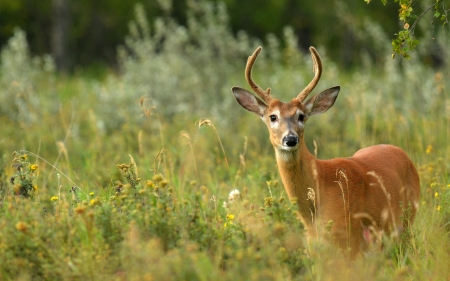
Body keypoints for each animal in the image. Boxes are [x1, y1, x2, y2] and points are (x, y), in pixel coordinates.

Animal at [232, 45, 422, 256]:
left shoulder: (349, 236)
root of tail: (403, 154)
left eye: (301, 116)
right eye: (272, 117)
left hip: (407, 219)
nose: (290, 139)